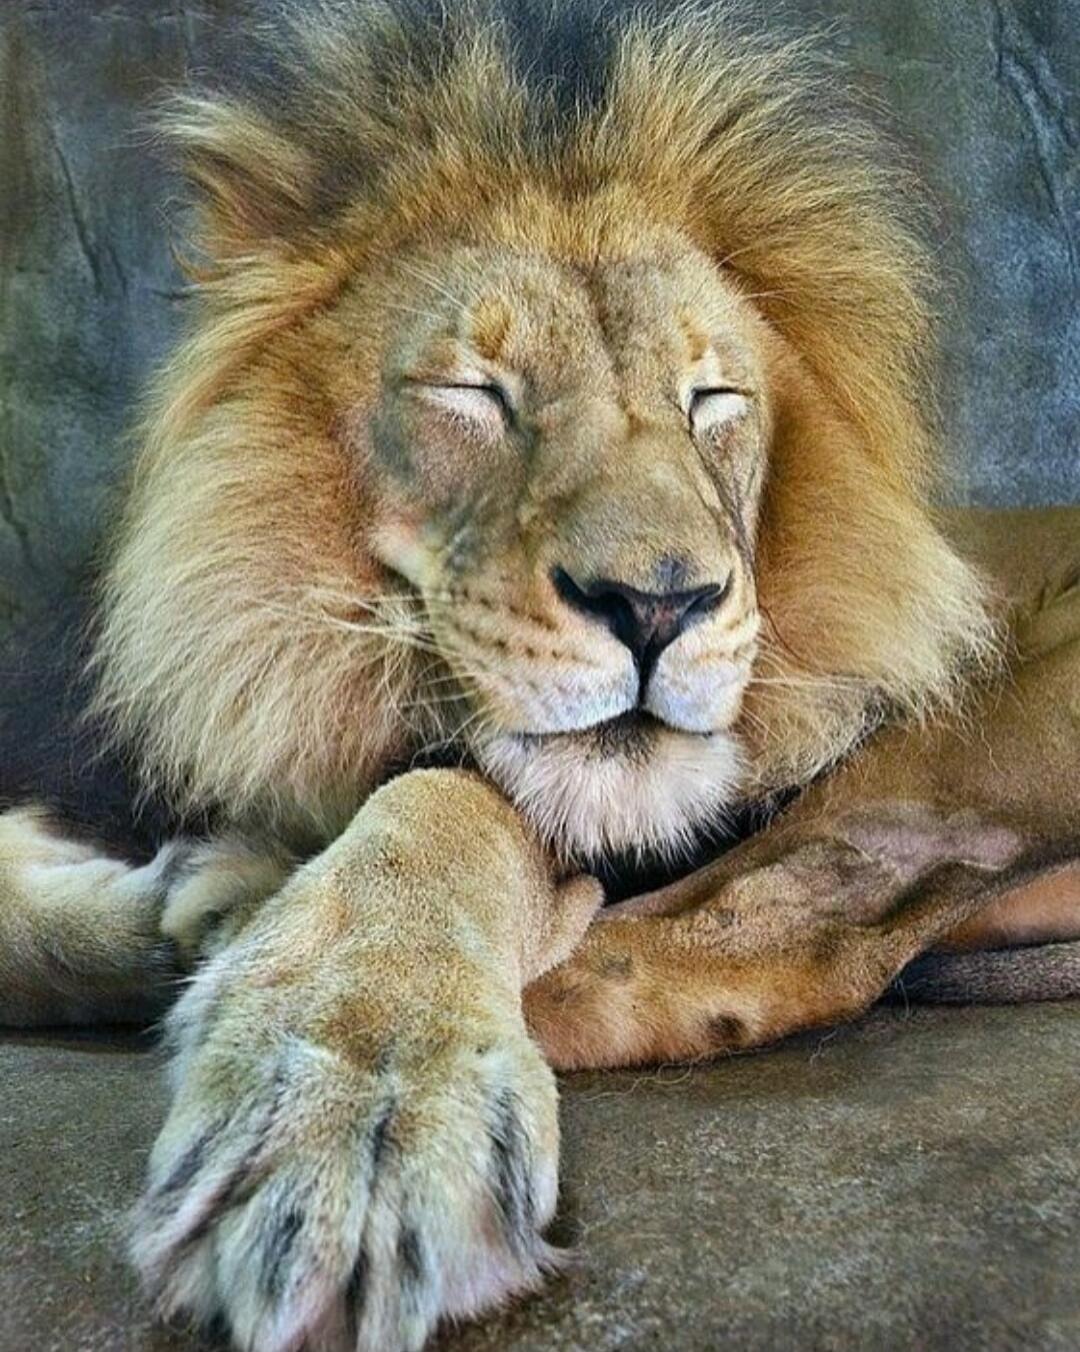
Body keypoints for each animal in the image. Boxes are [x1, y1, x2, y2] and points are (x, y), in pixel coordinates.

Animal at [1, 1, 1078, 1349]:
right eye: (476, 391)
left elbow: (443, 809)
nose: (660, 602)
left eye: (712, 398)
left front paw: (359, 1084)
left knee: (785, 936)